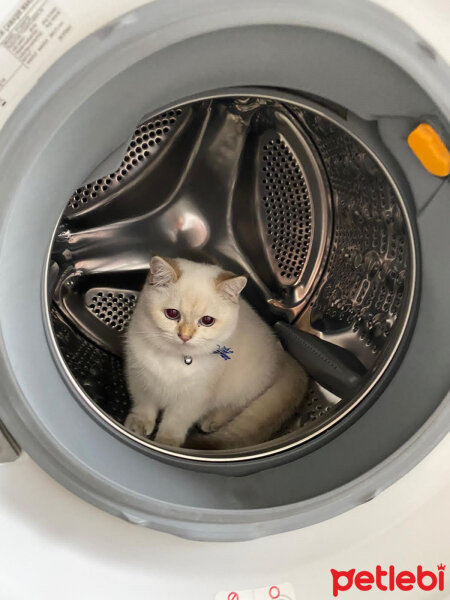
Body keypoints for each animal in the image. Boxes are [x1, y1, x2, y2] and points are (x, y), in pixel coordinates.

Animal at [123, 255, 308, 448]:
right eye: (172, 313)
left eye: (207, 321)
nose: (185, 336)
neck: (175, 358)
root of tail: (282, 353)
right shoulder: (140, 380)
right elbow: (144, 405)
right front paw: (138, 424)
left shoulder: (193, 399)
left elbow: (174, 423)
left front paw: (167, 443)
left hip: (243, 384)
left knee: (237, 406)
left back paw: (211, 420)